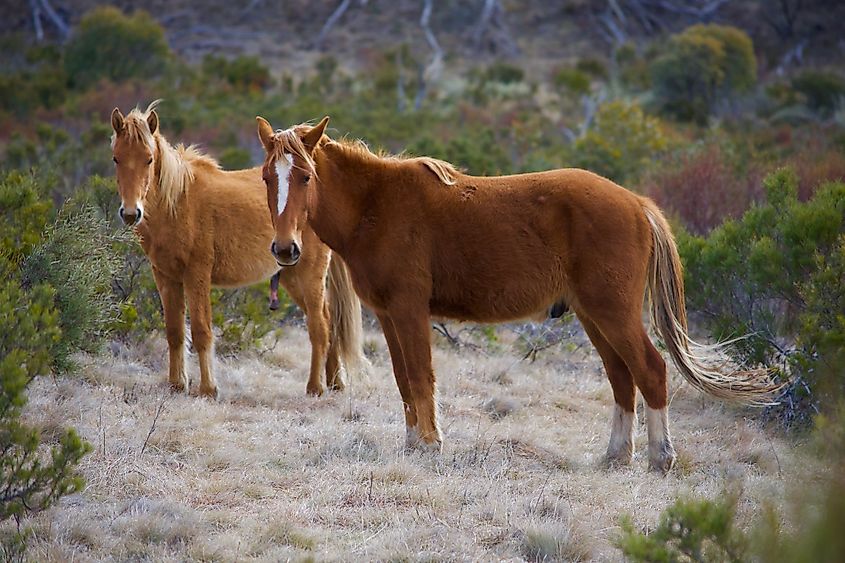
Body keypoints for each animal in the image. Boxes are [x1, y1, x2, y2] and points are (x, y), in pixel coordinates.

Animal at [107, 102, 362, 400]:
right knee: (328, 321)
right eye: (116, 159)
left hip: (309, 274)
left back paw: (315, 388)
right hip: (292, 277)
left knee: (319, 326)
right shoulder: (165, 276)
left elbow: (202, 330)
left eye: (148, 159)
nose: (130, 213)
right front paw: (176, 385)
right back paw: (335, 383)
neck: (178, 203)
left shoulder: (197, 274)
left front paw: (208, 389)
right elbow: (174, 331)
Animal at [254, 117, 780, 474]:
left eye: (305, 176)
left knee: (650, 371)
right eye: (266, 176)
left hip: (615, 313)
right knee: (621, 379)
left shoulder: (408, 311)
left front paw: (430, 445)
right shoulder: (387, 315)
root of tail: (637, 203)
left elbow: (421, 379)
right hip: (594, 317)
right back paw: (616, 456)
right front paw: (412, 444)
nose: (285, 249)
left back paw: (661, 458)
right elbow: (404, 382)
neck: (376, 205)